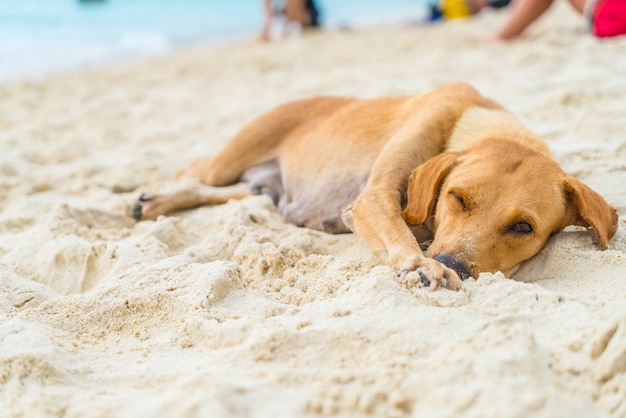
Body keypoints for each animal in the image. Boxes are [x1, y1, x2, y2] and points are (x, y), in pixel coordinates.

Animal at [130, 82, 616, 290]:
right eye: (457, 198)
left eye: (522, 228)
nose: (452, 264)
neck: (474, 118)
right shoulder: (371, 199)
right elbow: (401, 233)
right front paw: (421, 264)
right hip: (231, 158)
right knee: (195, 170)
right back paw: (149, 194)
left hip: (262, 190)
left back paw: (153, 202)